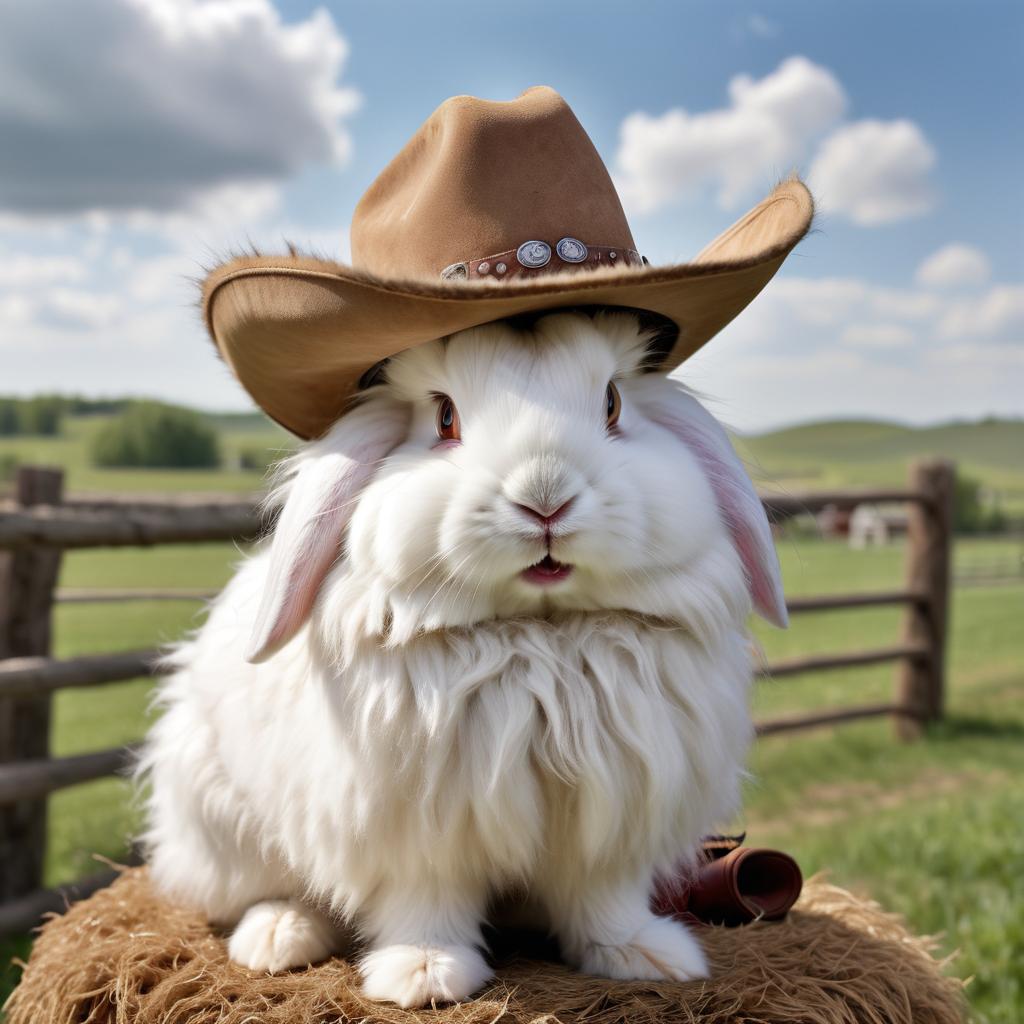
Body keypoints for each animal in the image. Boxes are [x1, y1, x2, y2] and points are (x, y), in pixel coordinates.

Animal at [140, 305, 782, 1007]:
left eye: (612, 402)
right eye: (444, 417)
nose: (545, 498)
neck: (539, 637)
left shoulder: (607, 830)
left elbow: (603, 900)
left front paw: (646, 956)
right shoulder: (415, 833)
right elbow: (426, 902)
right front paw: (423, 975)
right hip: (226, 825)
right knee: (271, 889)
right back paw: (280, 936)